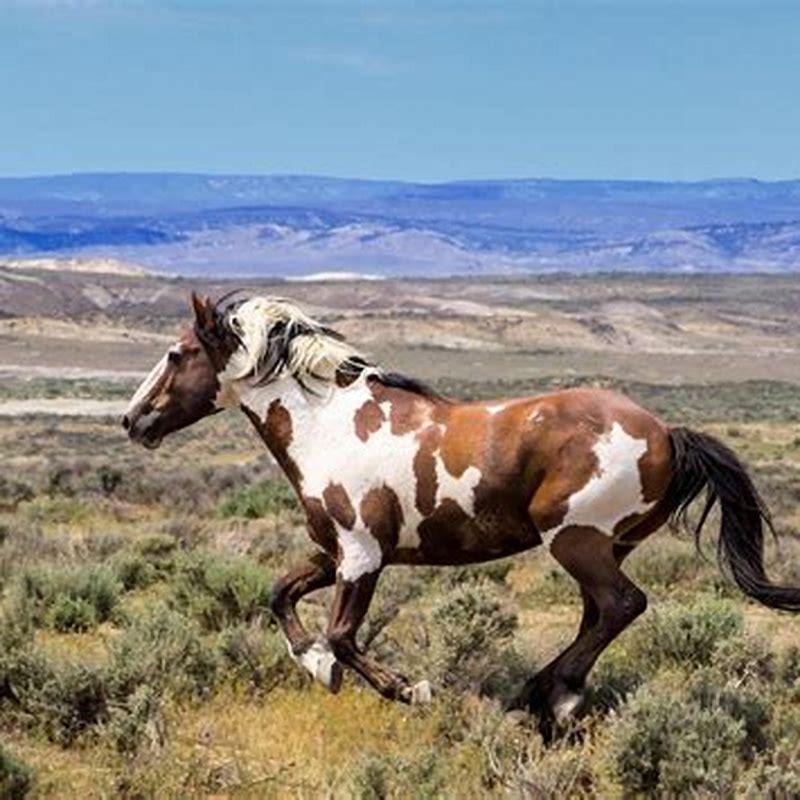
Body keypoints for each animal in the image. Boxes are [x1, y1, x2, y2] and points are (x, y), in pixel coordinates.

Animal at [122, 292, 800, 739]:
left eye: (176, 354)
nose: (132, 420)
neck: (329, 427)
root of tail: (666, 432)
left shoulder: (363, 556)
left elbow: (343, 635)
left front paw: (409, 689)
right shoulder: (332, 551)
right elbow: (279, 595)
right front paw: (315, 667)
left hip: (574, 540)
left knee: (621, 605)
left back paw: (548, 698)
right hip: (606, 546)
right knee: (599, 613)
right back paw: (543, 695)